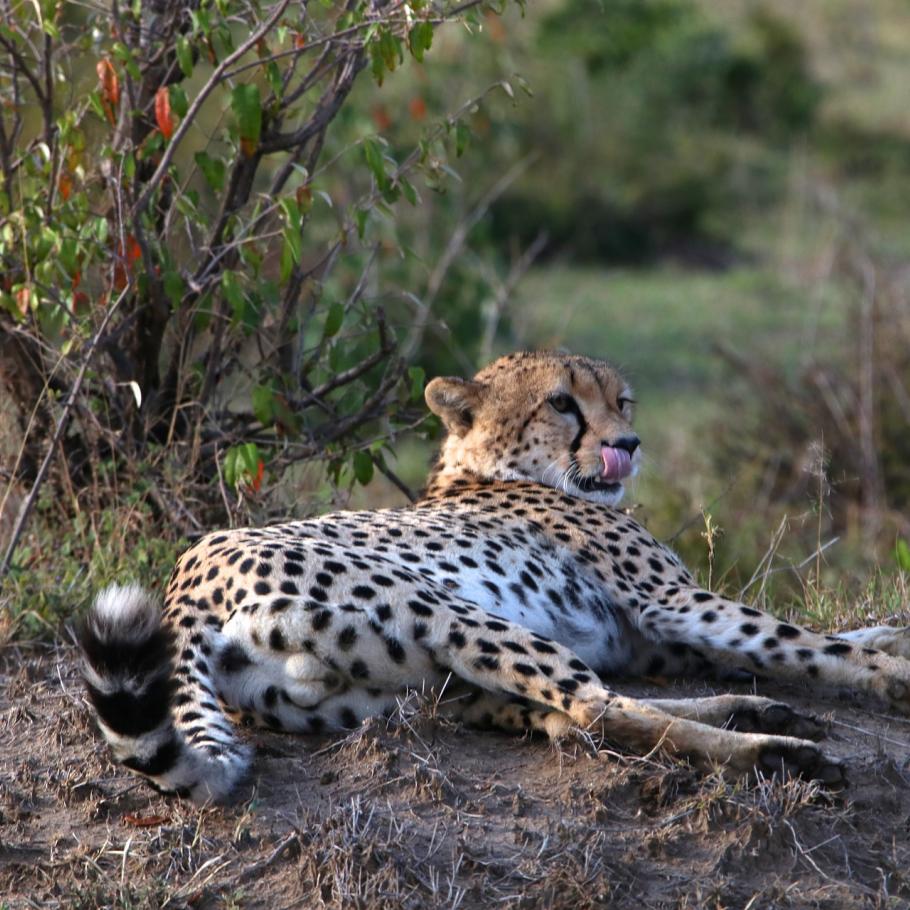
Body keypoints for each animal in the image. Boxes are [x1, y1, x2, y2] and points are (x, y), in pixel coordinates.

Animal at [80, 352, 910, 800]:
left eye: (622, 400)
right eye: (564, 404)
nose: (628, 444)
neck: (488, 470)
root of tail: (186, 574)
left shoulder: (653, 637)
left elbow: (836, 634)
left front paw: (891, 635)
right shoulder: (669, 604)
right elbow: (811, 642)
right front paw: (895, 676)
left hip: (402, 693)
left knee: (570, 716)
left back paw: (758, 718)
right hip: (452, 614)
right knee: (591, 709)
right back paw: (774, 748)